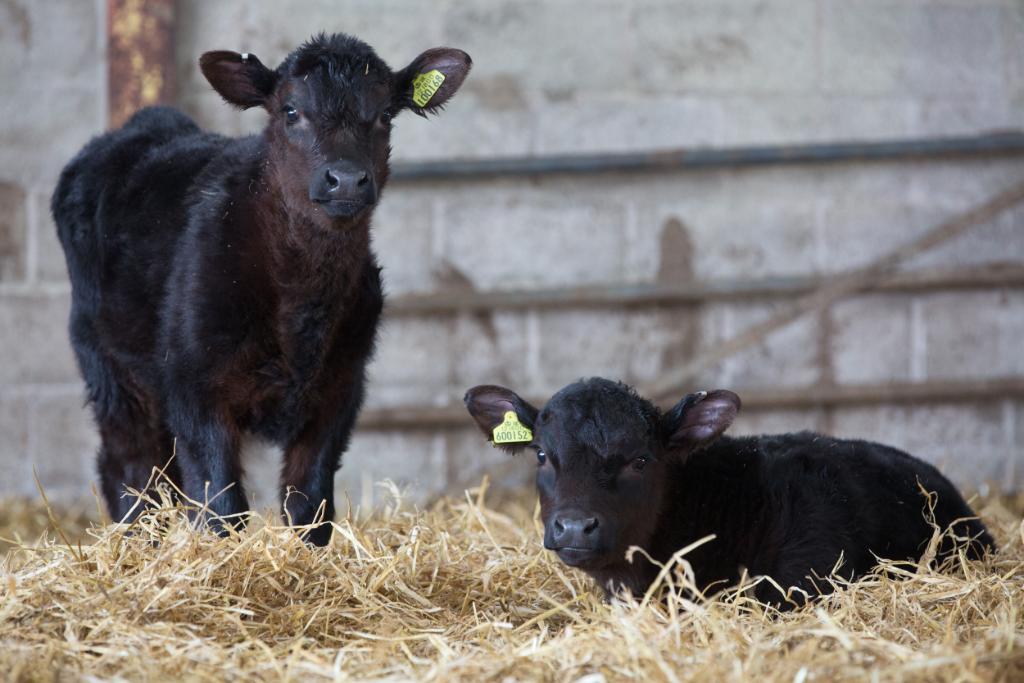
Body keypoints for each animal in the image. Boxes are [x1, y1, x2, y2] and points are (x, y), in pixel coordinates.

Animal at [51, 32, 471, 545]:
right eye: (291, 110)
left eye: (385, 114)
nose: (346, 179)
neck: (301, 301)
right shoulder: (195, 386)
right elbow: (221, 502)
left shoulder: (340, 387)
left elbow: (310, 500)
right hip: (109, 366)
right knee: (131, 467)